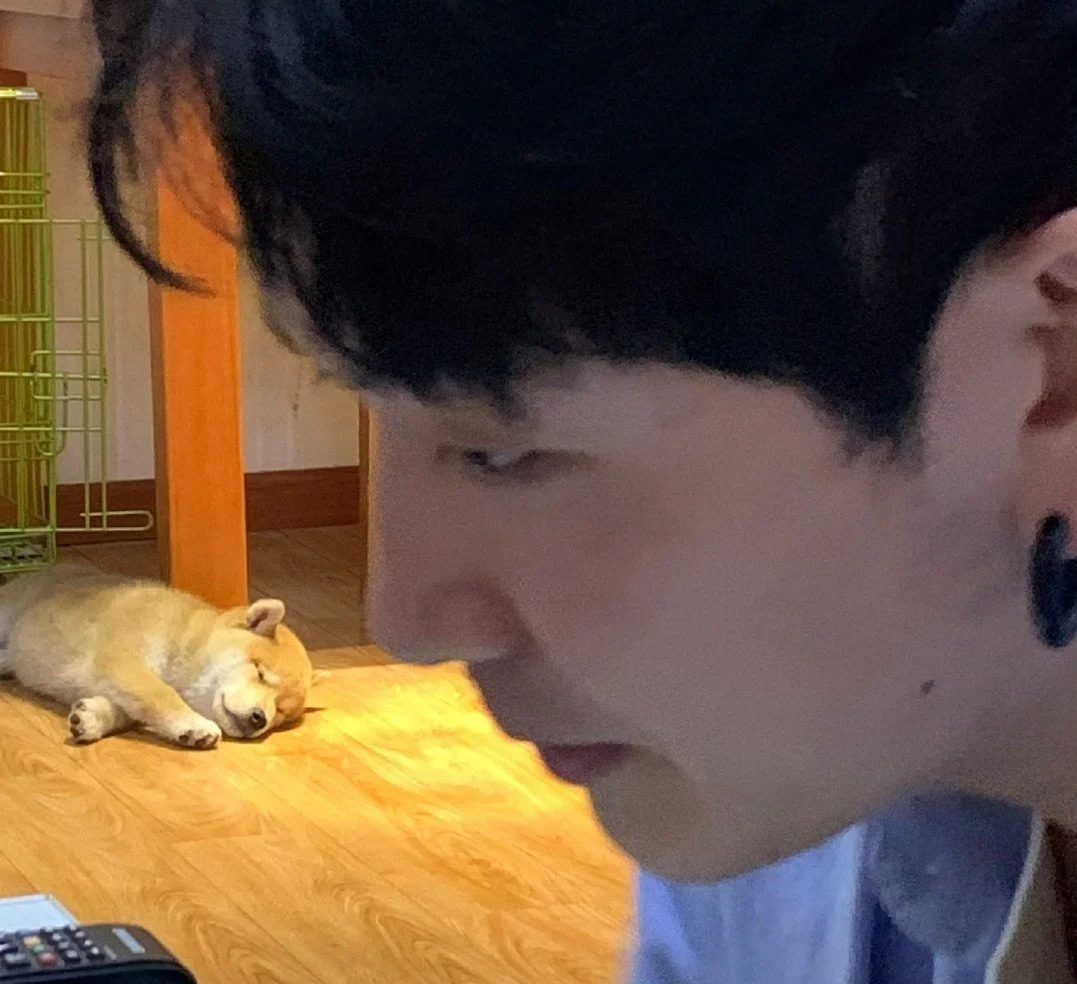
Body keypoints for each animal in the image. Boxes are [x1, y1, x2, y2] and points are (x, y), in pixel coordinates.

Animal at [0, 565, 320, 748]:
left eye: (281, 713)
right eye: (260, 672)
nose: (259, 719)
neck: (184, 637)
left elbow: (128, 712)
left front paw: (94, 718)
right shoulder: (124, 664)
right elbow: (159, 694)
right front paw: (194, 724)